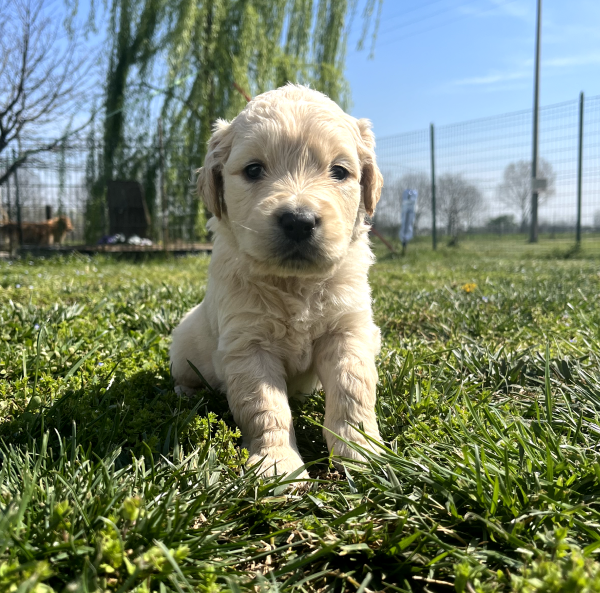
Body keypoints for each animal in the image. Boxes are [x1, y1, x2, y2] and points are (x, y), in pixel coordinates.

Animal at [169, 83, 384, 478]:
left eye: (339, 171)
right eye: (254, 170)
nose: (299, 221)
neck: (295, 284)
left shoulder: (347, 331)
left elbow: (353, 390)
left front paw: (362, 451)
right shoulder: (249, 344)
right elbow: (265, 407)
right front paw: (277, 463)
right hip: (183, 347)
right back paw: (187, 393)